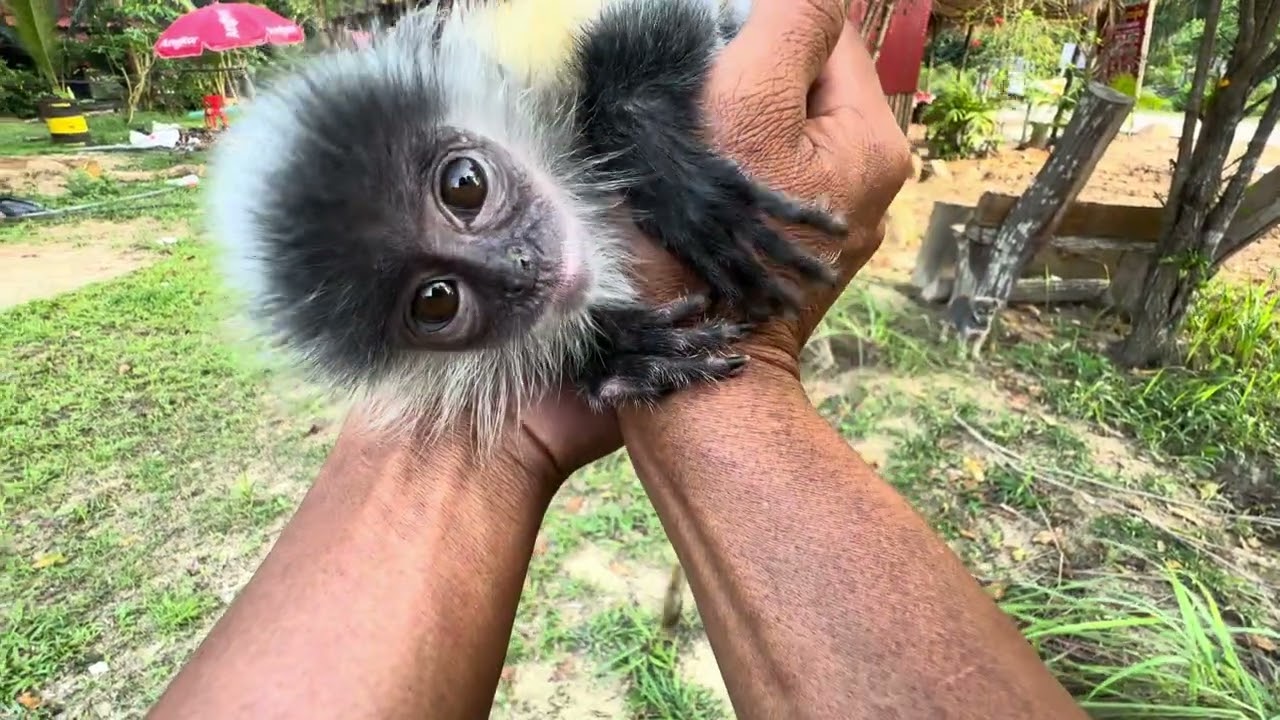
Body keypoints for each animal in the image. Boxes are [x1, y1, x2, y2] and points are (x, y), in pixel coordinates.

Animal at [206, 0, 849, 455]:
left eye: (465, 185)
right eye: (436, 301)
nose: (516, 267)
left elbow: (661, 22)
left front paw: (682, 188)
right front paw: (612, 351)